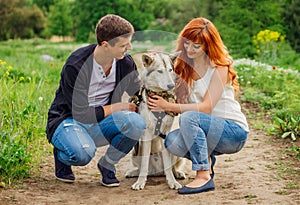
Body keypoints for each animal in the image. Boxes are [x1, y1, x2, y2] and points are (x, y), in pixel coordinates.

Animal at [125, 52, 186, 190]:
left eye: (170, 70)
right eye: (159, 71)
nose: (171, 85)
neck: (159, 96)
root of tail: (157, 172)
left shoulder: (165, 133)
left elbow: (168, 165)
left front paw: (172, 182)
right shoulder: (146, 135)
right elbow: (144, 164)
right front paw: (140, 182)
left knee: (170, 167)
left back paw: (177, 173)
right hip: (135, 151)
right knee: (143, 167)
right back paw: (133, 173)